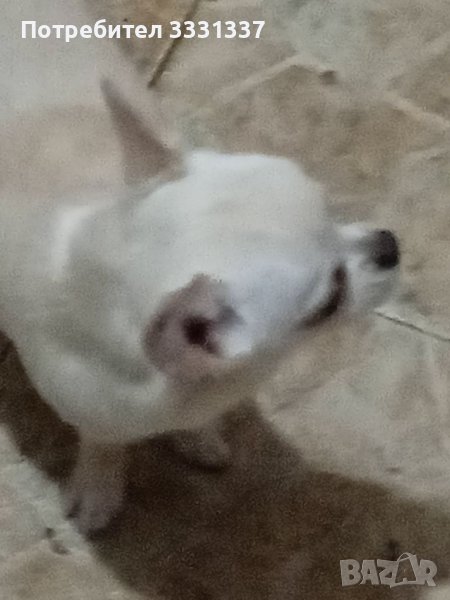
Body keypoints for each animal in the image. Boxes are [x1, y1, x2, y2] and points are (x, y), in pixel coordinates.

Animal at [1, 0, 400, 533]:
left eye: (332, 211)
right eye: (330, 298)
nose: (390, 244)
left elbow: (193, 425)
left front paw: (198, 436)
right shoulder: (96, 410)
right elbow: (103, 444)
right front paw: (99, 488)